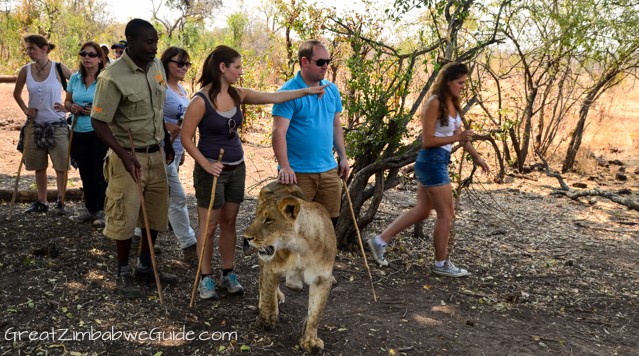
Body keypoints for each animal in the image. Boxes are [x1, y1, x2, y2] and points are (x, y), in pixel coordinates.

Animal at [242, 182, 338, 354]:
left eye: (269, 220)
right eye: (257, 217)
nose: (246, 238)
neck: (300, 248)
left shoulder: (322, 278)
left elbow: (316, 313)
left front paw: (309, 341)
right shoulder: (271, 266)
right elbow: (268, 296)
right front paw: (266, 321)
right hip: (264, 261)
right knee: (262, 280)